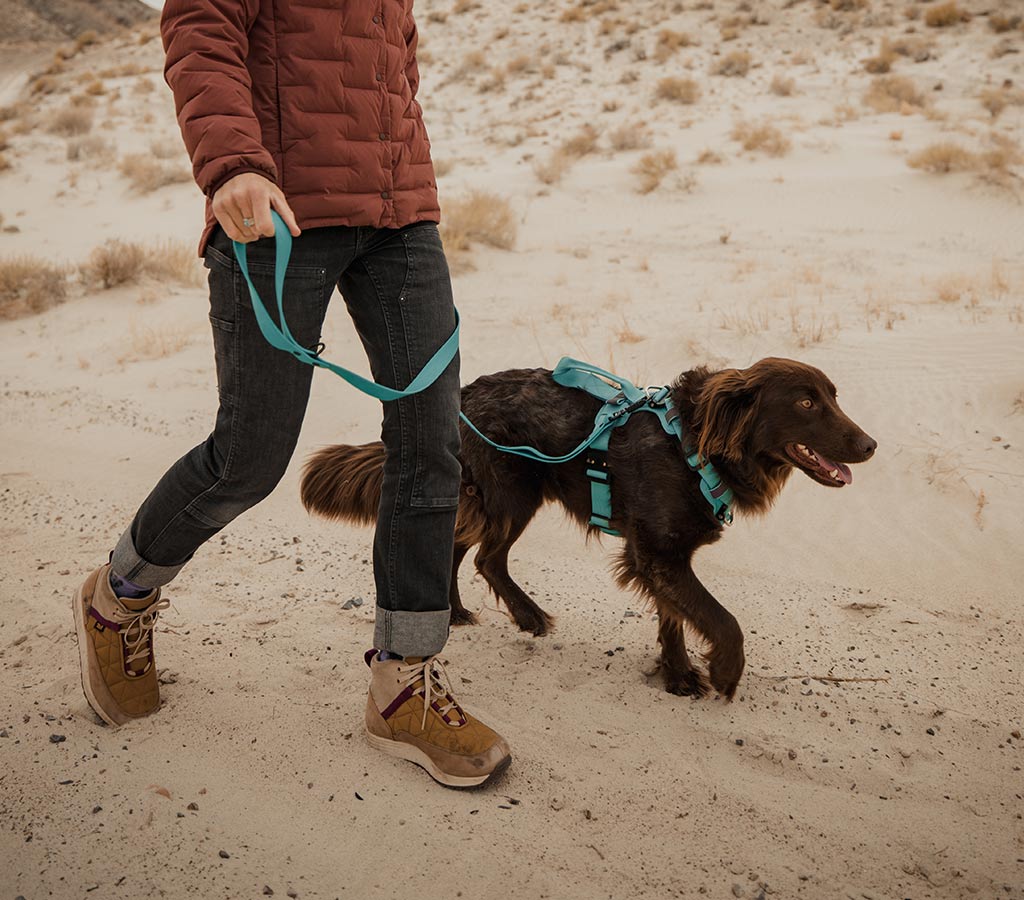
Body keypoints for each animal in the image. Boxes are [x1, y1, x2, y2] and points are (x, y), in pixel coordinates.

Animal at [299, 360, 876, 704]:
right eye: (805, 402)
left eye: (833, 397)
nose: (870, 445)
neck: (694, 448)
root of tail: (460, 396)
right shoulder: (659, 553)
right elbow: (722, 619)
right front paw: (725, 672)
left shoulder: (660, 557)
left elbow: (674, 616)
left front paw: (676, 675)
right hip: (512, 495)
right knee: (486, 556)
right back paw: (527, 616)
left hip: (494, 497)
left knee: (462, 547)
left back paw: (458, 612)